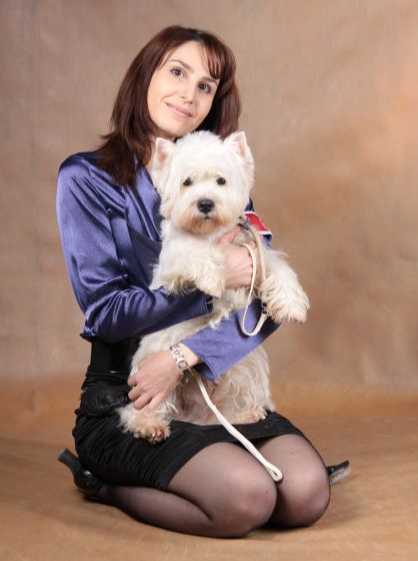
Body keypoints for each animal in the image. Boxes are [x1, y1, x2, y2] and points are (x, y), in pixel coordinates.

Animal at [116, 130, 310, 443]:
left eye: (221, 180)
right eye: (187, 182)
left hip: (245, 364)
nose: (205, 203)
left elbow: (278, 268)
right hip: (152, 368)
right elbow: (194, 252)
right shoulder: (174, 261)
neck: (212, 233)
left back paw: (244, 413)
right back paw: (149, 426)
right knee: (139, 409)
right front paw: (212, 279)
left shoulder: (254, 251)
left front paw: (291, 305)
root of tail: (195, 416)